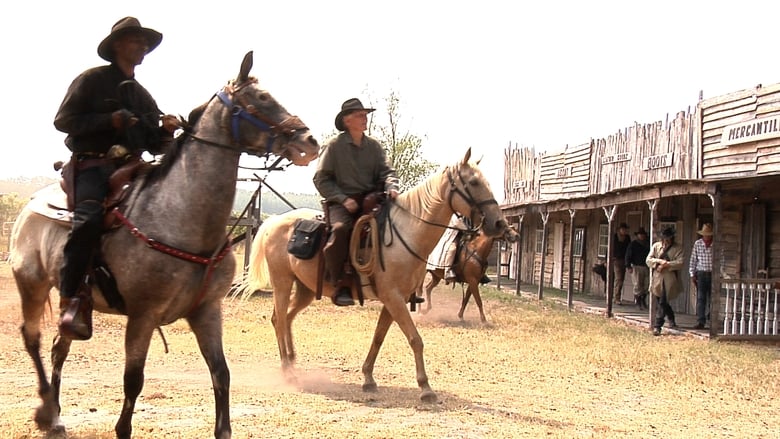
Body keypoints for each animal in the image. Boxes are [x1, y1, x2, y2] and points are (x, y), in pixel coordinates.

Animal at [7, 52, 318, 439]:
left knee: (58, 348)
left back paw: (56, 417)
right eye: (261, 98)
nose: (309, 141)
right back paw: (44, 412)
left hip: (72, 303)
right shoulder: (143, 316)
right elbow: (132, 381)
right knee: (32, 339)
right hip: (32, 284)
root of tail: (30, 206)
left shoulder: (207, 312)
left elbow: (221, 375)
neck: (181, 217)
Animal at [235, 150, 508, 404]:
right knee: (280, 319)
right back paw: (288, 372)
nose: (499, 224)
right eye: (473, 182)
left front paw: (368, 378)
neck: (406, 235)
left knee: (286, 318)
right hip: (282, 283)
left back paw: (292, 362)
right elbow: (415, 339)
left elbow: (378, 338)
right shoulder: (394, 298)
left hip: (305, 289)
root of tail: (273, 223)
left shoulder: (394, 300)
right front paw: (426, 388)